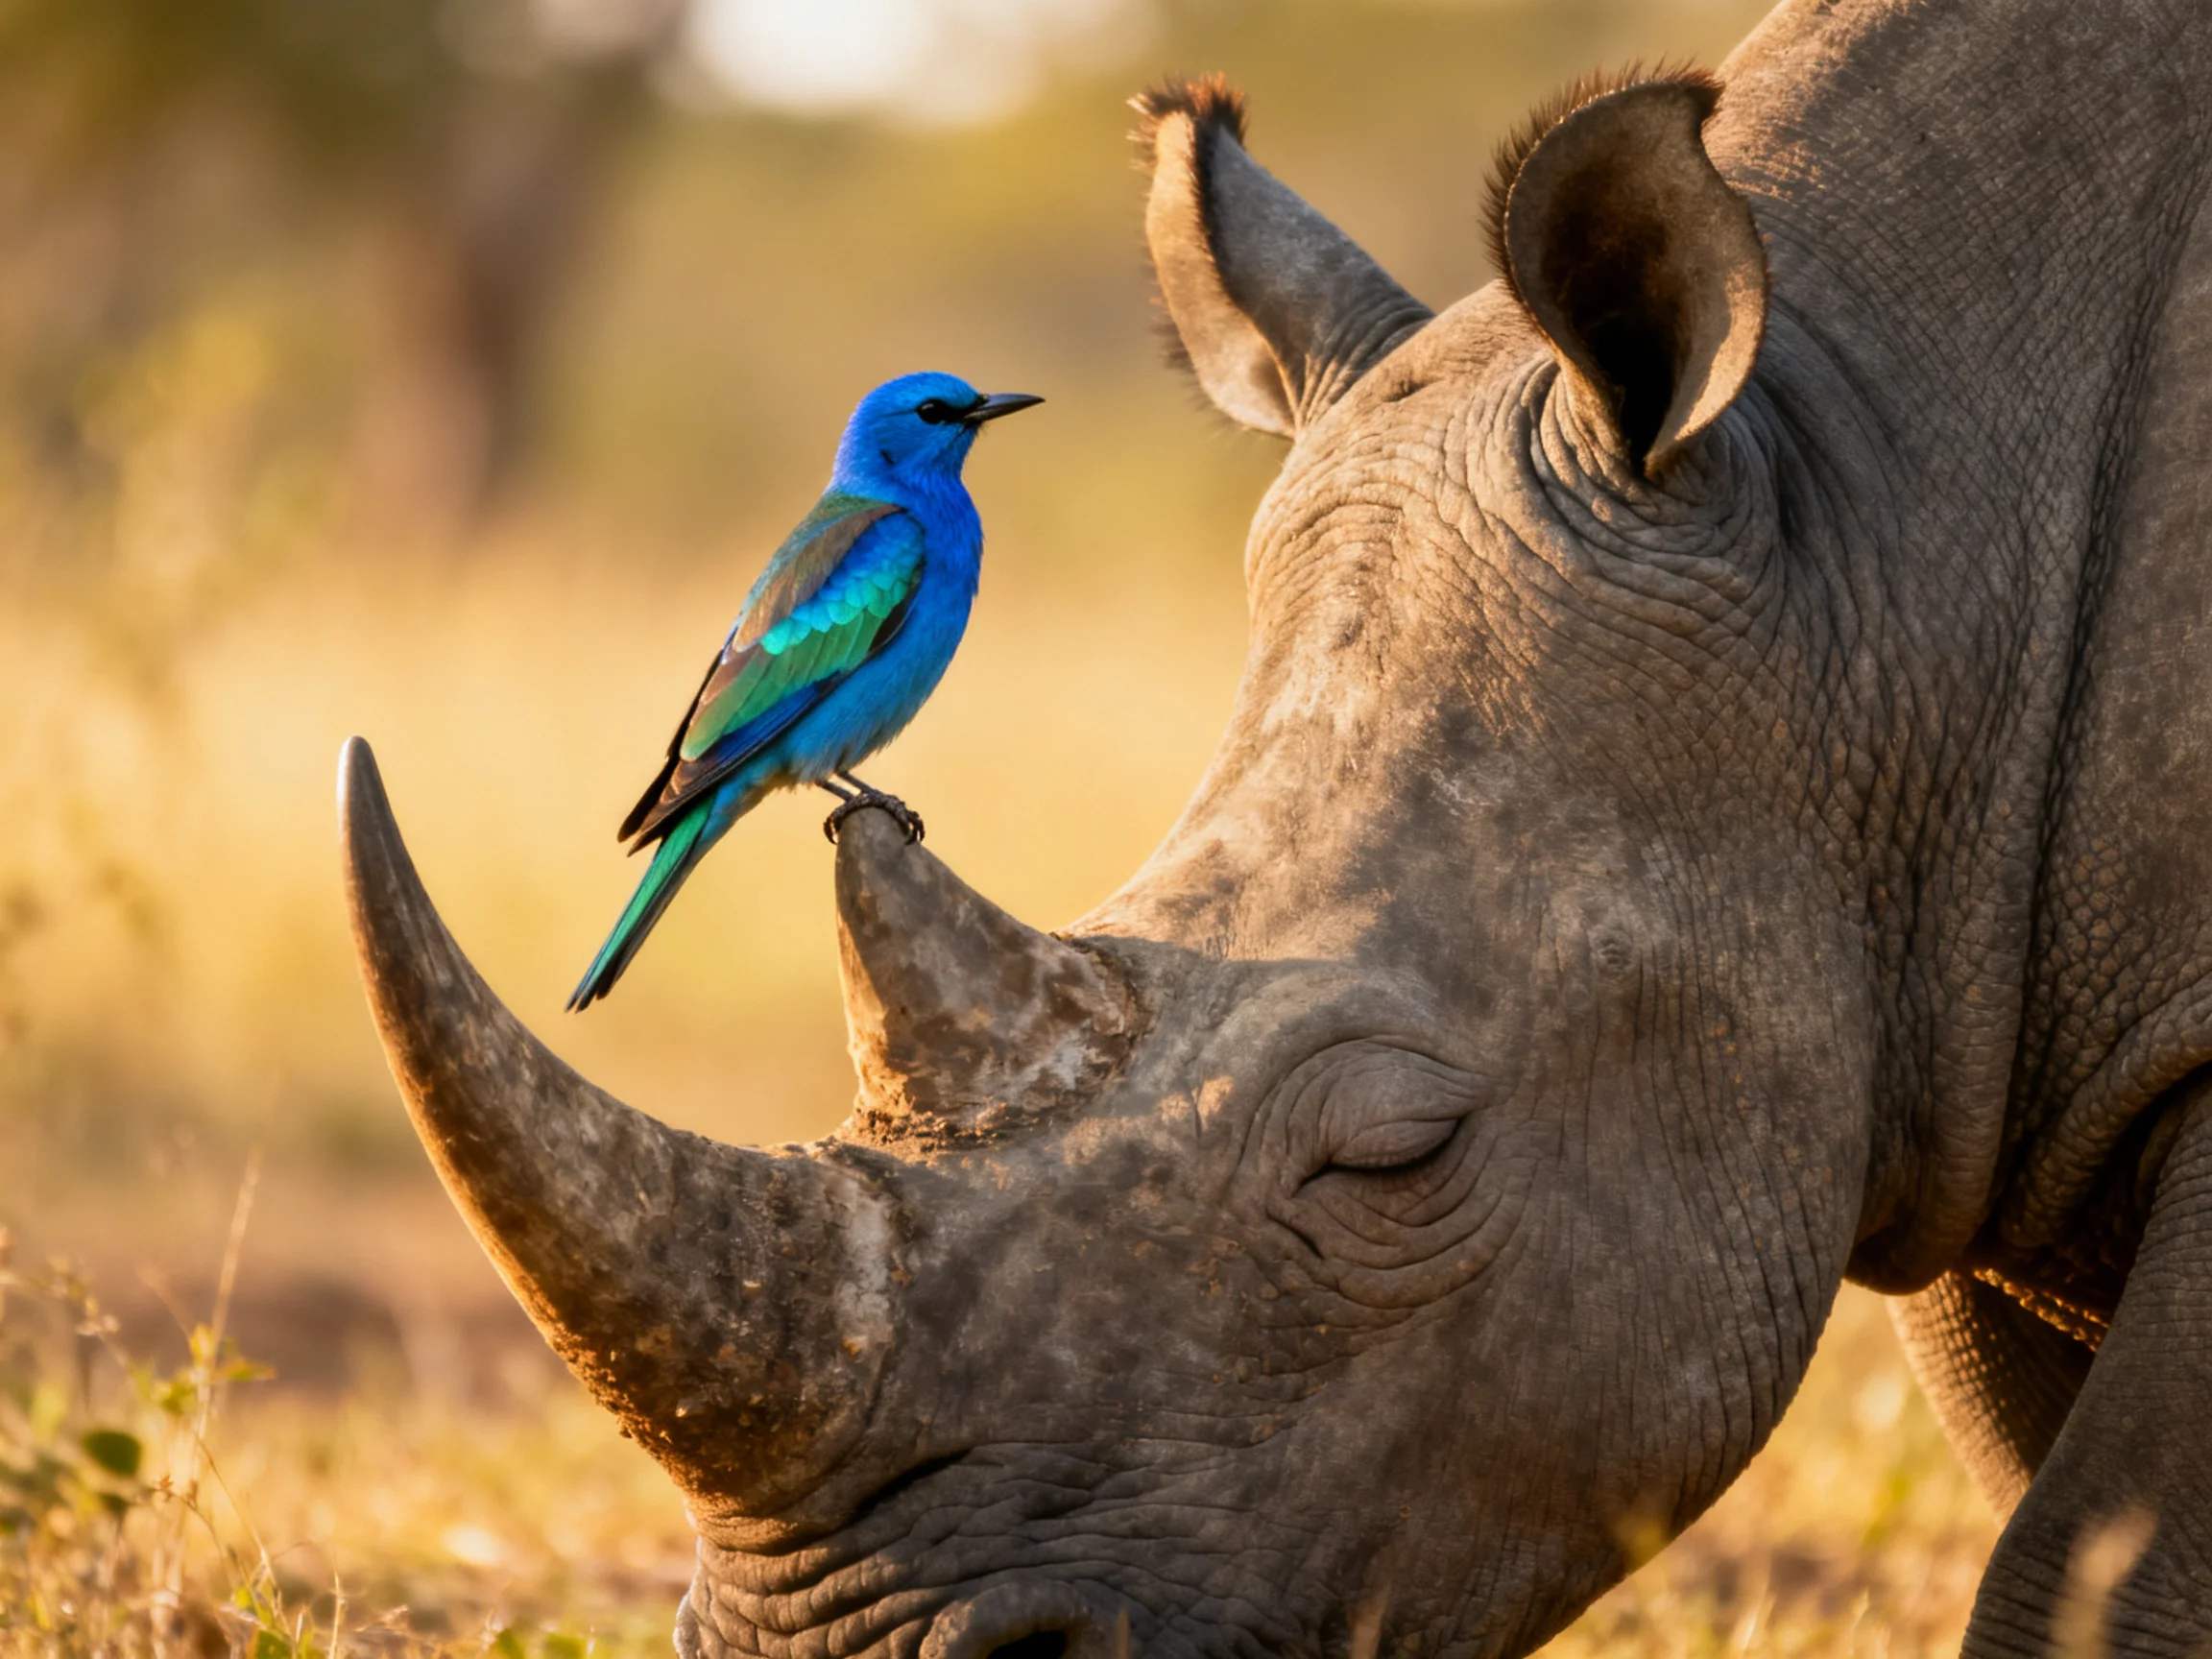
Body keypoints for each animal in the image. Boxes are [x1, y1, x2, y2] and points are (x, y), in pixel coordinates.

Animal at [337, 0, 2212, 1654]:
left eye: (1395, 1157)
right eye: (940, 409)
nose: (810, 1650)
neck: (1874, 529)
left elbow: (2080, 1565)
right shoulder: (1954, 1024)